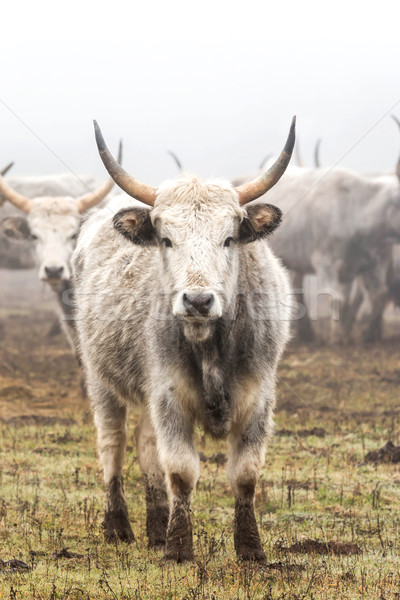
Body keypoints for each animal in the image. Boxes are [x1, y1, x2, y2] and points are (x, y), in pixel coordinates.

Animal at [72, 118, 294, 564]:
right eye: (166, 239)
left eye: (229, 238)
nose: (198, 300)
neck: (210, 345)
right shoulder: (169, 395)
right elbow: (181, 470)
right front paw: (178, 548)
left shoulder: (258, 397)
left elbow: (245, 474)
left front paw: (250, 548)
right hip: (101, 381)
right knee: (113, 445)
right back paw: (118, 526)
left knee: (145, 447)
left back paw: (156, 527)